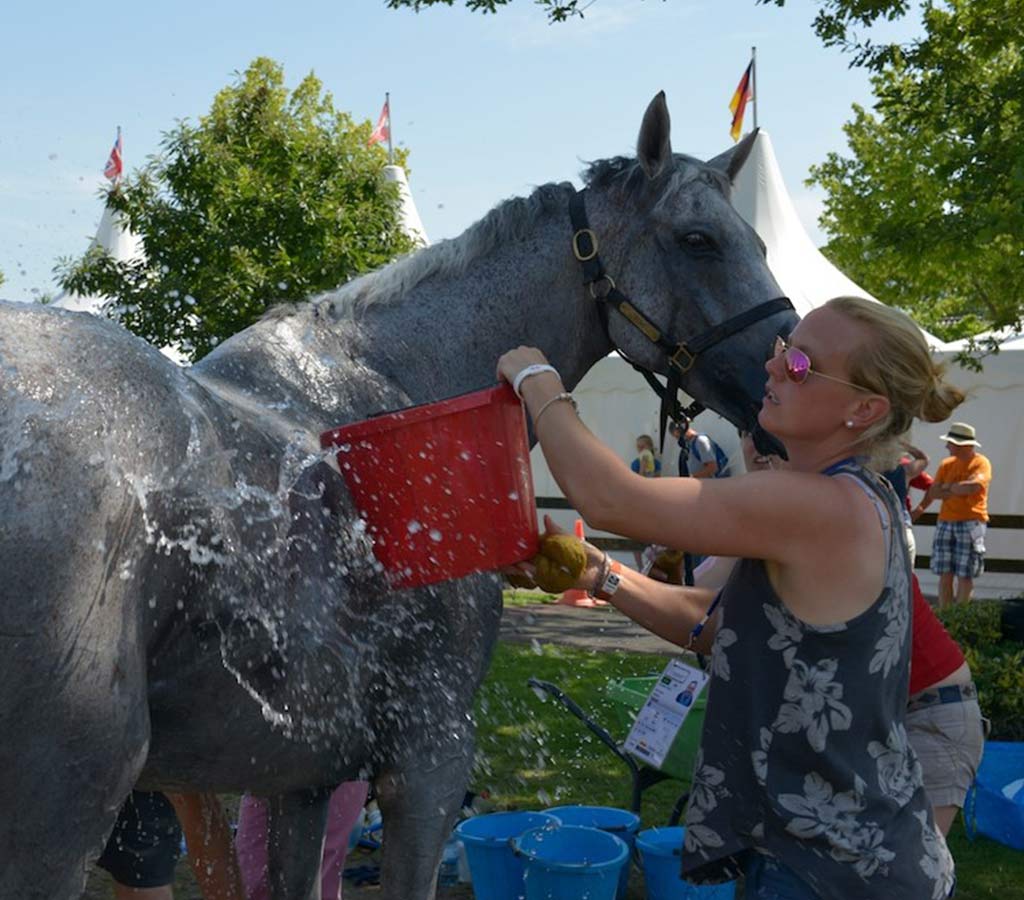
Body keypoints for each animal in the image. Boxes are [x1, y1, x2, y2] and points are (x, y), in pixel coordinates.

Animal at [0, 95, 794, 896]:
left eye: (758, 241)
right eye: (698, 240)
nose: (789, 365)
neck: (400, 397)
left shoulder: (301, 778)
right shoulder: (429, 763)